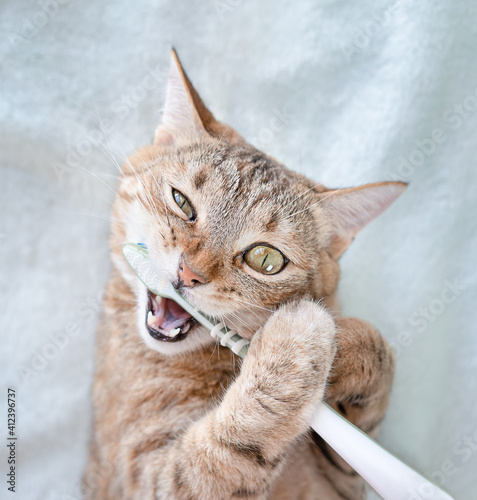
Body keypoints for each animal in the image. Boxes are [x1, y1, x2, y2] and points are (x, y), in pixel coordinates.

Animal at [83, 50, 404, 500]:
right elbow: (226, 449)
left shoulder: (343, 482)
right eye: (182, 202)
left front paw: (340, 351)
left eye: (265, 259)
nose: (189, 273)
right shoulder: (136, 475)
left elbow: (381, 356)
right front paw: (297, 344)